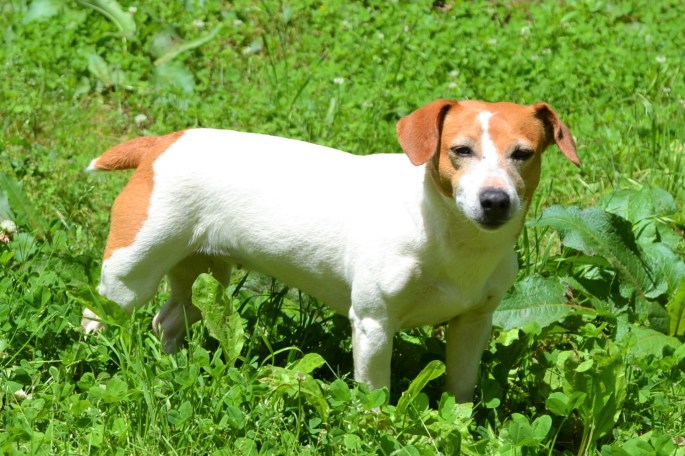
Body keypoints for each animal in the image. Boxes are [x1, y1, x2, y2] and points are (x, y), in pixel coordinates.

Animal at [82, 99, 579, 402]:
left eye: (524, 154)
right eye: (460, 150)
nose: (495, 200)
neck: (449, 234)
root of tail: (162, 142)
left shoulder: (474, 323)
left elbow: (460, 385)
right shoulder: (374, 325)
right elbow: (376, 392)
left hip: (202, 270)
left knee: (170, 318)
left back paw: (171, 365)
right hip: (130, 272)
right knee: (99, 313)